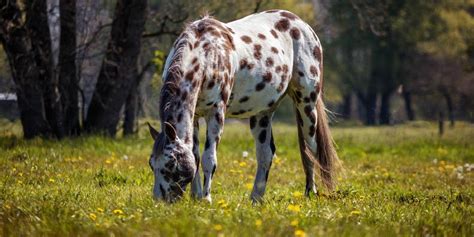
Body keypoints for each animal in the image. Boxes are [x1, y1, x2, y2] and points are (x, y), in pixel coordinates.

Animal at [146, 8, 338, 202]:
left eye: (170, 165)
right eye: (151, 163)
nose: (160, 200)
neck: (206, 55)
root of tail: (302, 25)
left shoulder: (216, 113)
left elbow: (209, 159)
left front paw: (206, 199)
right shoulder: (194, 116)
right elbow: (195, 156)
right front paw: (196, 196)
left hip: (306, 104)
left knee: (310, 149)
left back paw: (310, 192)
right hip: (262, 113)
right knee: (266, 154)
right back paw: (256, 198)